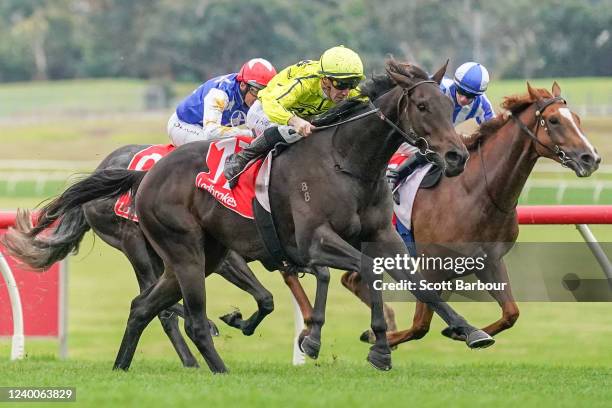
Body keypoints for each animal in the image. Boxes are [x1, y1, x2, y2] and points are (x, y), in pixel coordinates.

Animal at [3, 60, 492, 372]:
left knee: (144, 307)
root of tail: (139, 174)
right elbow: (357, 274)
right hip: (170, 249)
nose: (456, 156)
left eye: (450, 107)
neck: (347, 161)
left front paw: (469, 330)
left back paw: (124, 368)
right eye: (423, 107)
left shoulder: (381, 237)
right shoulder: (313, 241)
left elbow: (417, 282)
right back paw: (205, 364)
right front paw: (371, 345)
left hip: (203, 255)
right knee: (177, 313)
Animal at [340, 81, 604, 346]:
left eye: (577, 119)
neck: (477, 193)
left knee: (351, 279)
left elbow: (511, 313)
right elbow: (419, 326)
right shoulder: (430, 267)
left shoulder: (489, 261)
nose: (591, 158)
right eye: (553, 120)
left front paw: (462, 333)